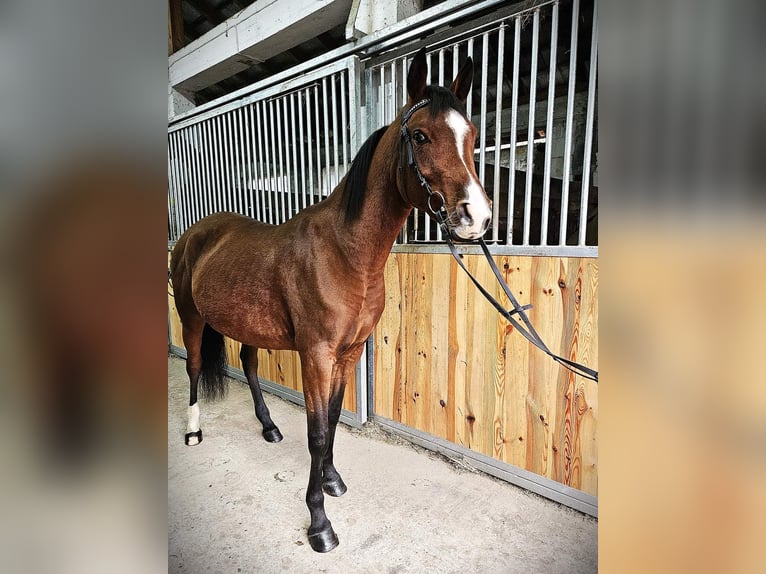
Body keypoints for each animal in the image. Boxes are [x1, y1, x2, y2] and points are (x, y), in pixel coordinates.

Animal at [170, 48, 492, 552]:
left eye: (472, 136)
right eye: (421, 135)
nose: (476, 217)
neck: (344, 253)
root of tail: (195, 234)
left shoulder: (348, 352)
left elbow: (337, 417)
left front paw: (331, 480)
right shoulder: (317, 355)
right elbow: (318, 432)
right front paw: (319, 523)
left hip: (243, 323)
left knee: (248, 364)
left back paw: (268, 427)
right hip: (191, 319)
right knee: (195, 367)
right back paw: (193, 432)